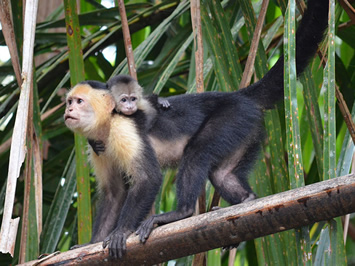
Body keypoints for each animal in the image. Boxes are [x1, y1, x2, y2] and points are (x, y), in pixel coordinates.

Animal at [66, 0, 328, 260]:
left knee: (197, 152)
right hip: (247, 129)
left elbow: (148, 178)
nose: (68, 110)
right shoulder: (96, 144)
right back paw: (247, 200)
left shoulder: (124, 128)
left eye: (79, 101)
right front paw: (91, 243)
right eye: (69, 101)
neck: (107, 124)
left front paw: (121, 231)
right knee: (222, 174)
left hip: (233, 116)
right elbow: (114, 192)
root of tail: (239, 96)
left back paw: (180, 213)